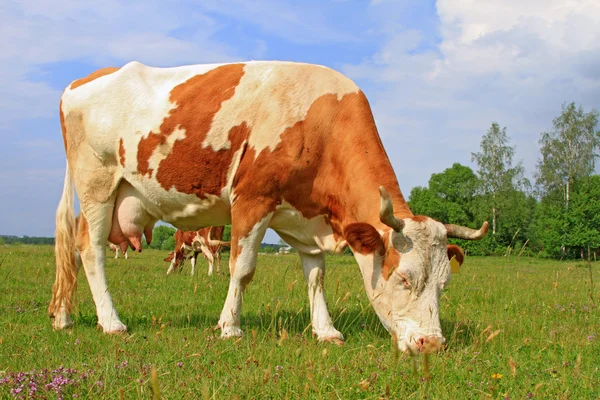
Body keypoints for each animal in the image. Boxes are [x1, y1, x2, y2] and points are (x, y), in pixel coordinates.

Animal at [48, 61, 488, 356]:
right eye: (404, 279)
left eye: (444, 285)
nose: (432, 344)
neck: (320, 122)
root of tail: (83, 79)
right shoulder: (252, 199)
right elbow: (242, 270)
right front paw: (230, 327)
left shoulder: (306, 220)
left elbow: (316, 277)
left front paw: (326, 331)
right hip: (97, 186)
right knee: (91, 250)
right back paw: (111, 322)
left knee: (72, 247)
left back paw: (64, 317)